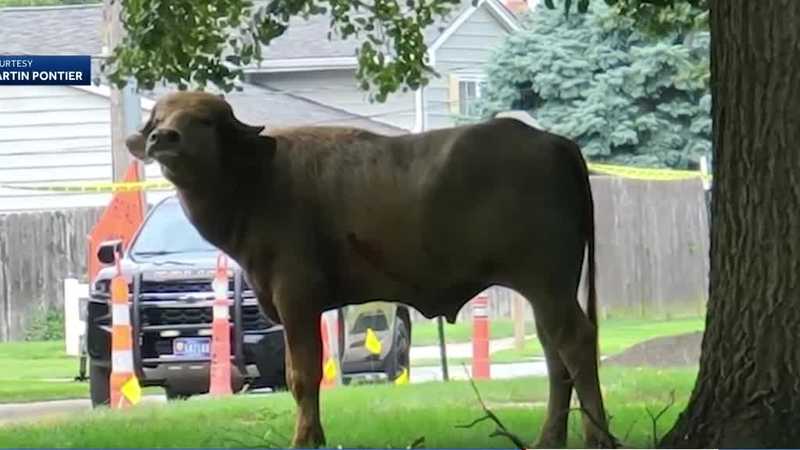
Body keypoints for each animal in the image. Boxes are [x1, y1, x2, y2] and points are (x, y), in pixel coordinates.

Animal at [125, 89, 612, 448]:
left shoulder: (296, 296)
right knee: (554, 353)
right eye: (160, 116)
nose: (163, 138)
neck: (257, 181)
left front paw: (305, 439)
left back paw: (598, 436)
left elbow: (302, 374)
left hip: (547, 282)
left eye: (204, 119)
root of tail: (553, 142)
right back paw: (551, 438)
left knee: (575, 343)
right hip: (547, 289)